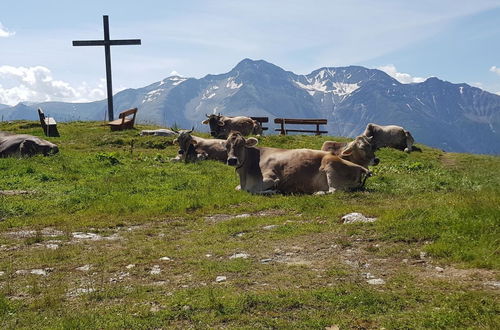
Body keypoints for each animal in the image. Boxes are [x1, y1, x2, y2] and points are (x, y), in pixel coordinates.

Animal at [225, 131, 370, 195]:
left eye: (241, 144)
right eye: (226, 145)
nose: (232, 160)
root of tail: (362, 168)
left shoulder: (271, 177)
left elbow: (252, 190)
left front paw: (273, 191)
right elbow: (239, 188)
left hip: (330, 164)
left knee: (334, 190)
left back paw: (317, 193)